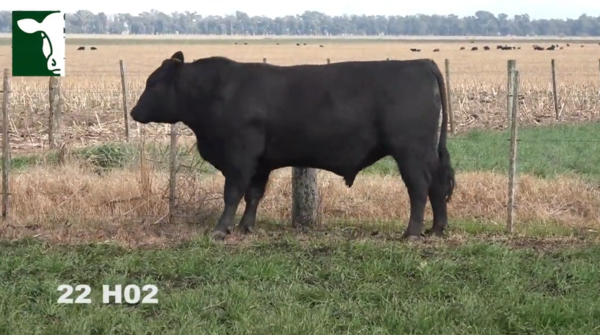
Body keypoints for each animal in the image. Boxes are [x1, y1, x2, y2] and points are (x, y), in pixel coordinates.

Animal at [130, 51, 454, 242]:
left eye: (153, 83)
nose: (133, 112)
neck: (217, 92)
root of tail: (421, 63)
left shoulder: (240, 156)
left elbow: (232, 193)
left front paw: (222, 229)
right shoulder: (260, 162)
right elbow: (254, 194)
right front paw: (246, 226)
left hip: (410, 152)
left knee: (418, 188)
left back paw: (412, 233)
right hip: (427, 152)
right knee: (437, 185)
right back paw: (437, 229)